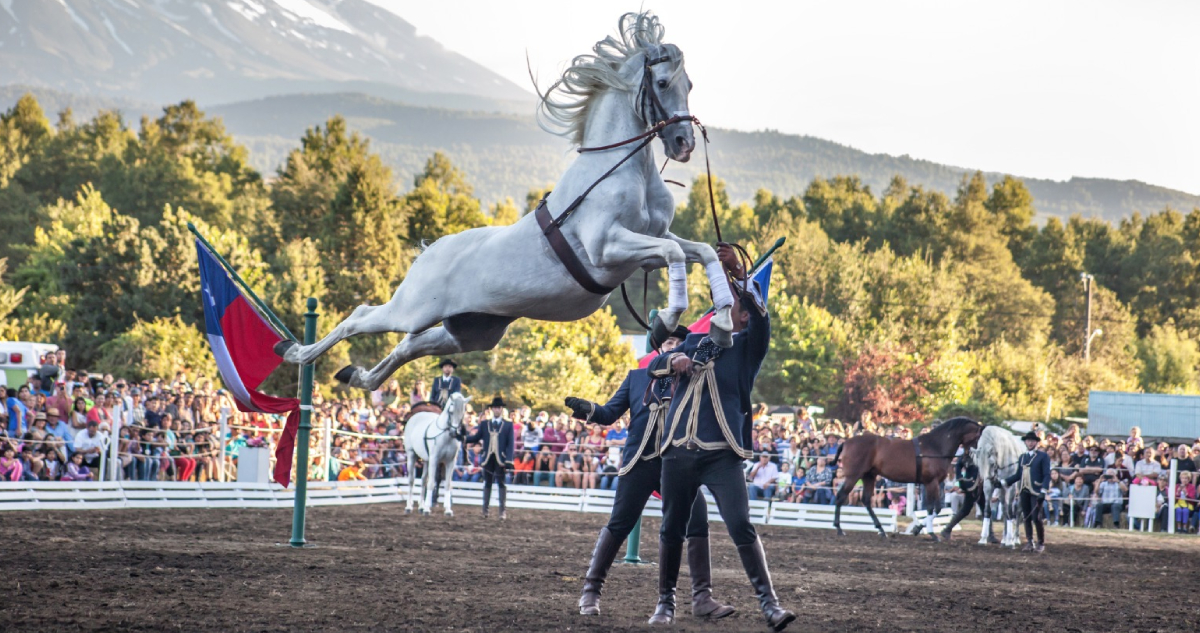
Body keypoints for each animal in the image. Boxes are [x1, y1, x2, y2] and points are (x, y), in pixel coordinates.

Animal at [275, 11, 735, 390]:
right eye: (662, 83)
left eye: (689, 84)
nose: (684, 143)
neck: (623, 169)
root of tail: (431, 251)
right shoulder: (608, 248)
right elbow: (676, 255)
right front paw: (665, 323)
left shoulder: (651, 243)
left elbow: (700, 252)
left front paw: (724, 321)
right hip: (411, 309)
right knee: (359, 317)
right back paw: (297, 352)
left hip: (470, 332)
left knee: (406, 348)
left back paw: (357, 376)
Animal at [832, 417, 985, 540]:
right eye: (978, 438)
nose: (968, 461)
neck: (936, 446)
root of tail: (846, 442)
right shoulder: (932, 483)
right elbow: (933, 509)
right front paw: (931, 534)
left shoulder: (932, 484)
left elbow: (934, 509)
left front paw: (918, 529)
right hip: (853, 476)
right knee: (841, 496)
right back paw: (839, 528)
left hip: (869, 476)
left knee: (866, 500)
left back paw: (881, 530)